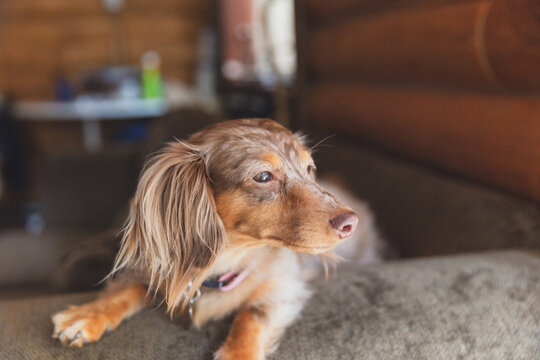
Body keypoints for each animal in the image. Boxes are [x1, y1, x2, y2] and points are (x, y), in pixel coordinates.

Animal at [50, 119, 380, 360]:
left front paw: (238, 354)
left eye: (310, 169)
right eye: (263, 176)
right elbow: (128, 288)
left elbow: (251, 316)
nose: (349, 222)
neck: (220, 267)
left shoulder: (283, 289)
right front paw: (88, 315)